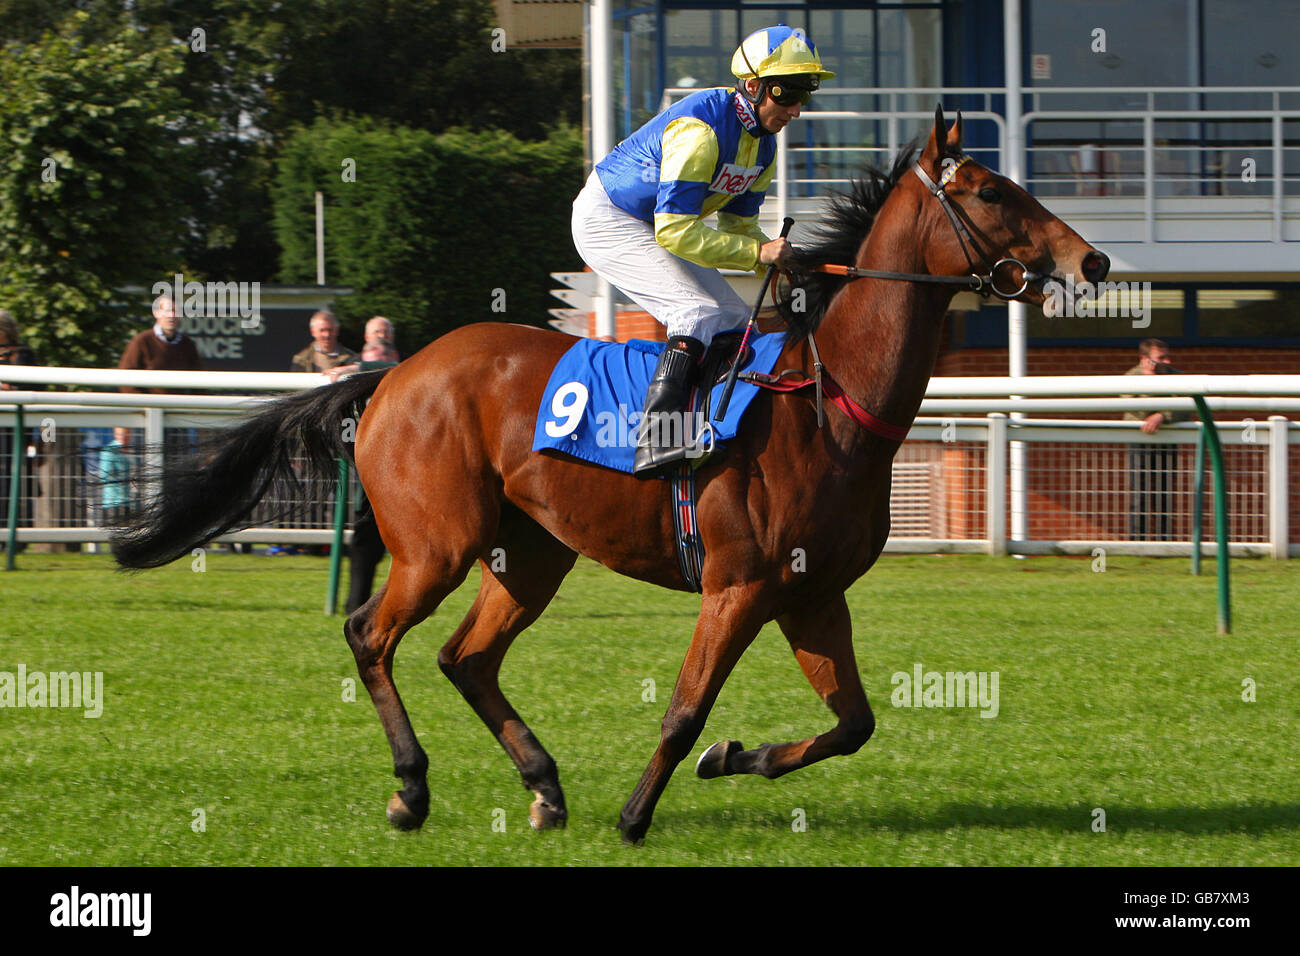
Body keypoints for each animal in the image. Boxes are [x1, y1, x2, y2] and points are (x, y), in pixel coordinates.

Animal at [111, 106, 1107, 842]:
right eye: (990, 189)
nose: (1089, 258)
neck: (829, 404)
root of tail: (392, 373)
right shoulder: (741, 585)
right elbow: (684, 709)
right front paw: (636, 814)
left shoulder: (812, 592)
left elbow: (853, 724)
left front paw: (735, 759)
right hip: (436, 544)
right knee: (371, 636)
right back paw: (412, 789)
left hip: (531, 552)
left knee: (465, 658)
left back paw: (544, 788)